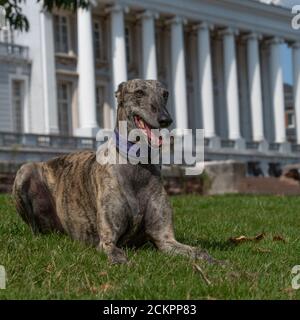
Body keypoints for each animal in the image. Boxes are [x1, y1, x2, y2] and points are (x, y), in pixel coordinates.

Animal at [12, 79, 216, 264]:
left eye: (165, 94)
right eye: (139, 92)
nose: (166, 119)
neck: (137, 164)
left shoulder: (165, 239)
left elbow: (200, 251)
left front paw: (217, 263)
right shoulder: (107, 240)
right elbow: (117, 254)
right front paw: (124, 262)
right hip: (25, 170)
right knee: (35, 228)